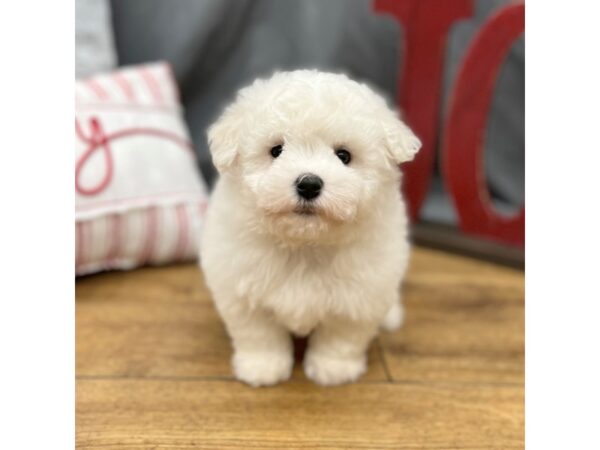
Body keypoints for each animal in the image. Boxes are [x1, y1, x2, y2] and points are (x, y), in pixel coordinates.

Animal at [199, 70, 420, 386]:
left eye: (344, 156)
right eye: (276, 150)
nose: (309, 184)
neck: (305, 243)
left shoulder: (358, 296)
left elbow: (341, 337)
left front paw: (333, 369)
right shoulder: (243, 291)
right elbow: (259, 334)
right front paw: (262, 367)